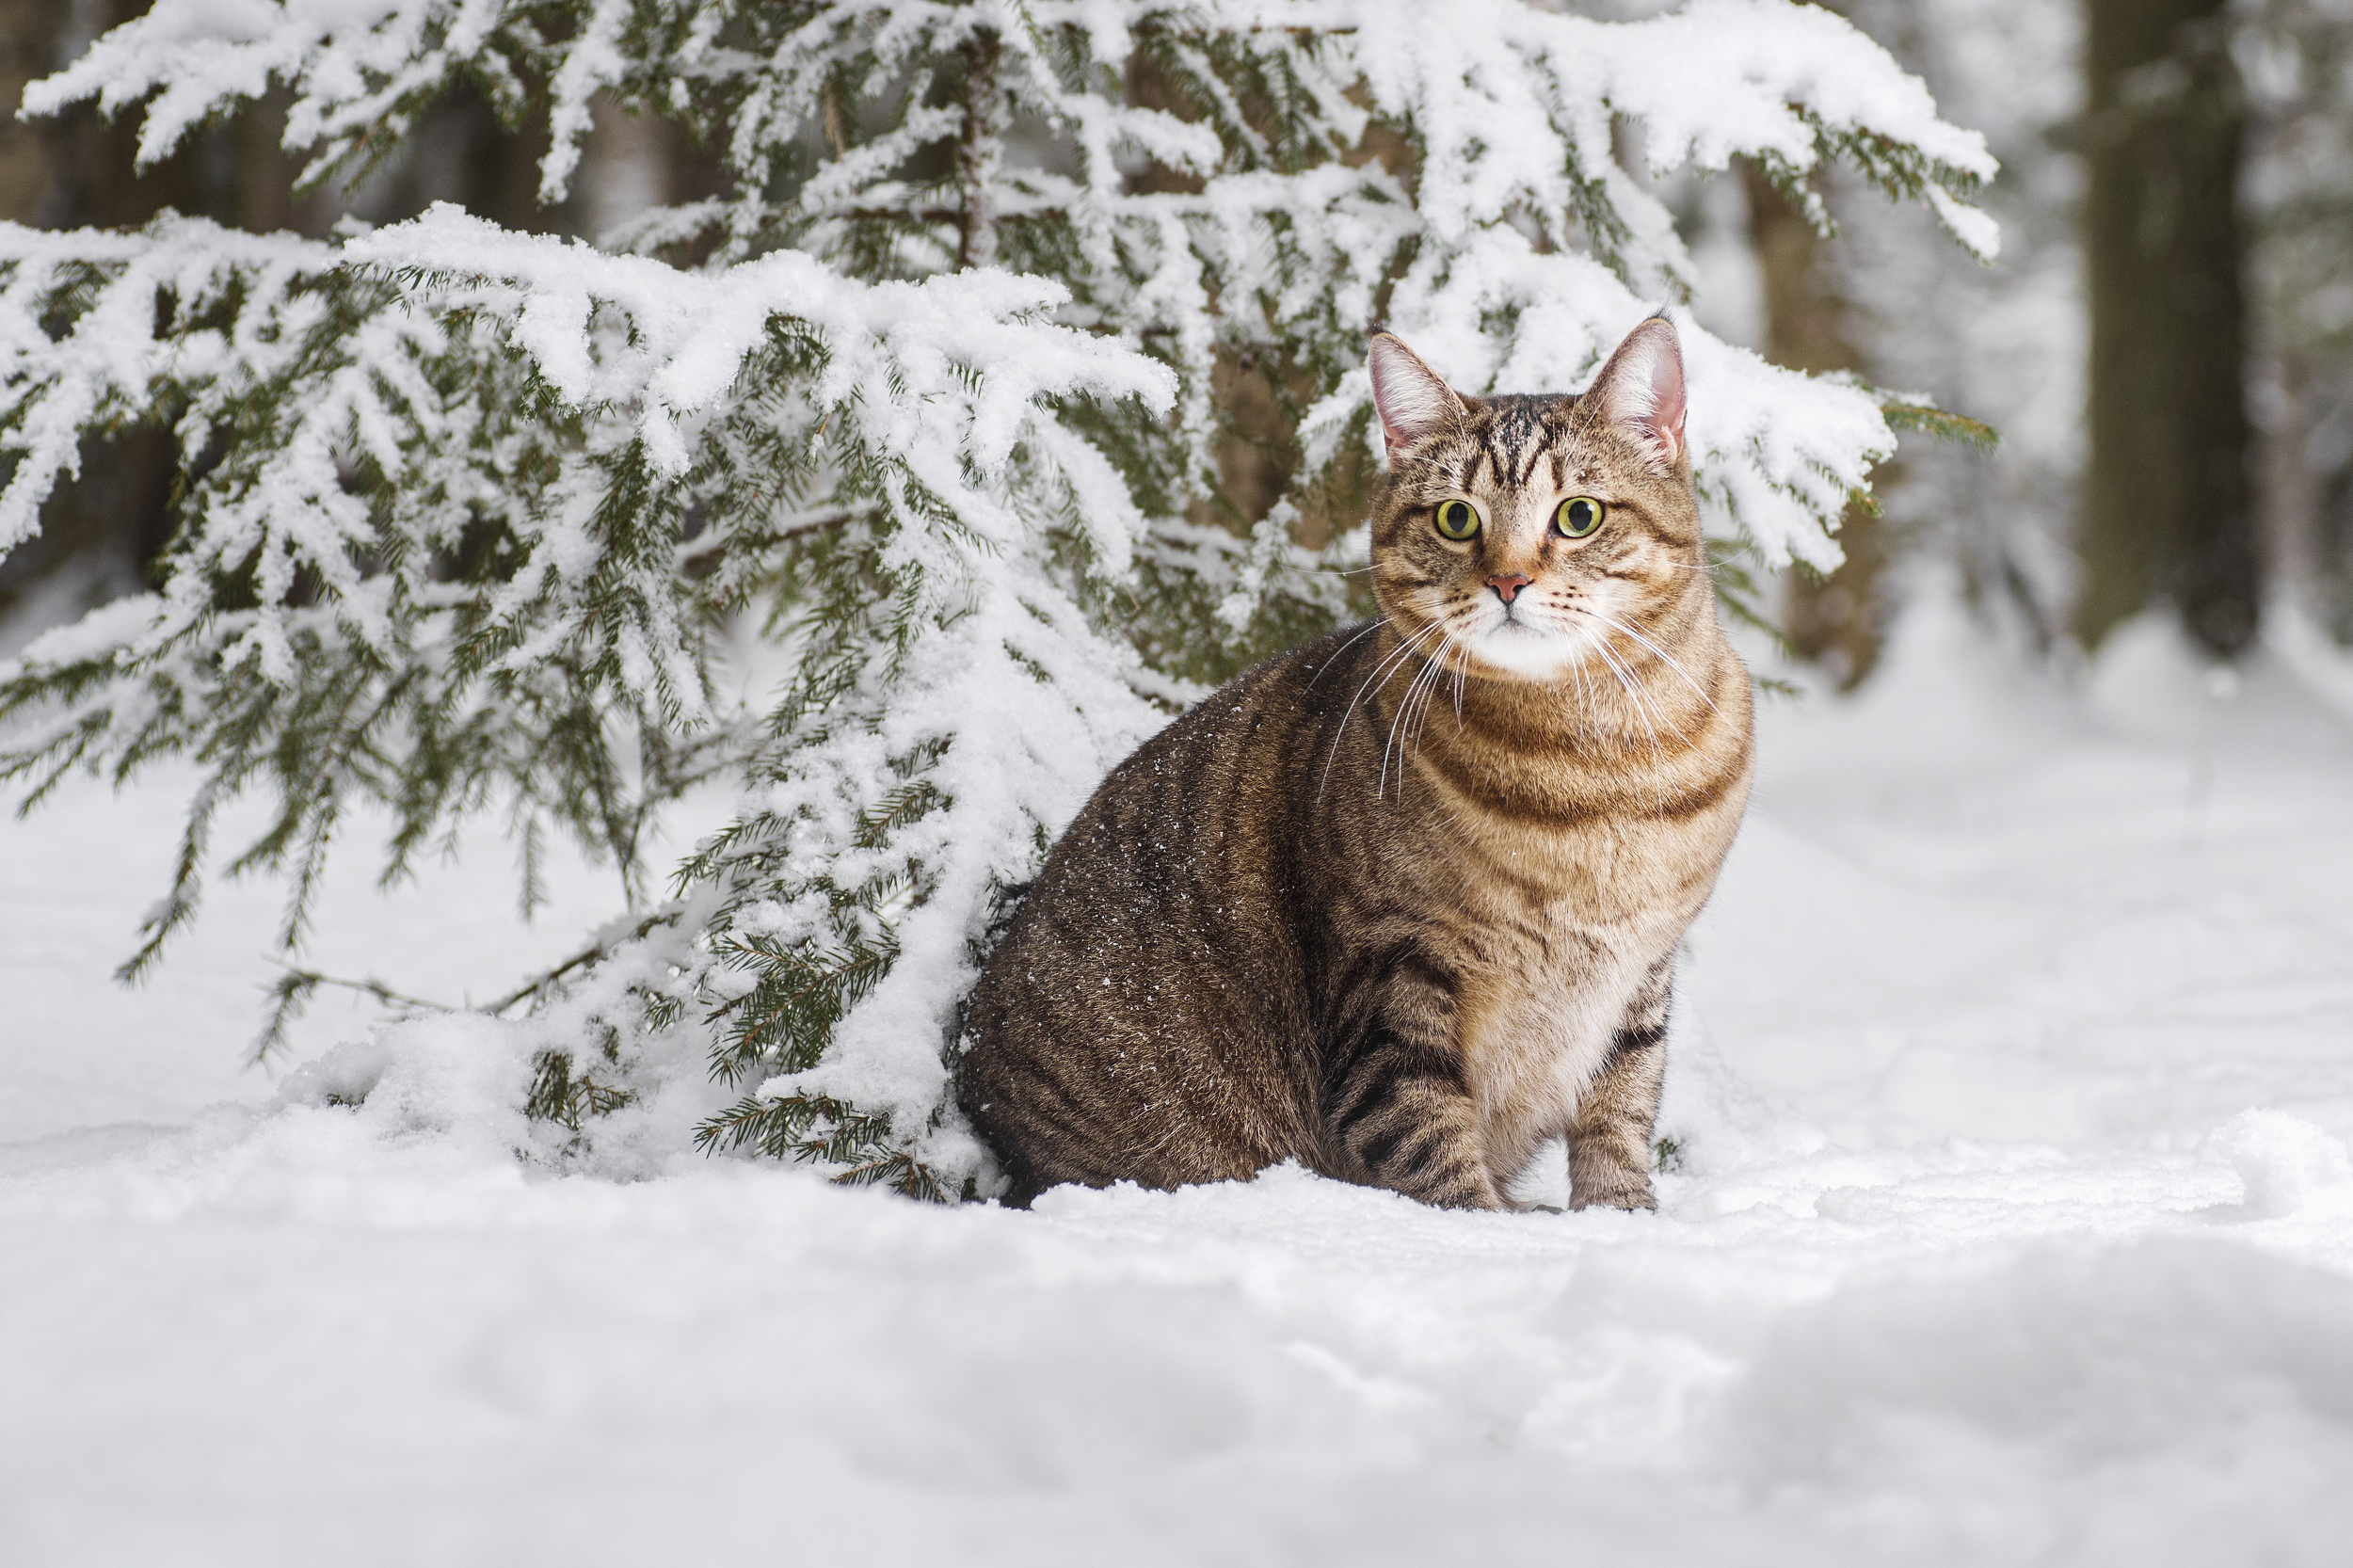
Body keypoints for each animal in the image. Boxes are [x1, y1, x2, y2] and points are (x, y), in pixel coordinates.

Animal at [951, 315, 1751, 1205]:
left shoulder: (1643, 975)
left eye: (1578, 515)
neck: (1597, 769)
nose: (1508, 580)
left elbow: (1620, 1112)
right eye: (1456, 518)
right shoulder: (1390, 973)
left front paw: (1619, 1216)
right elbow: (1431, 1144)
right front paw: (1493, 1222)